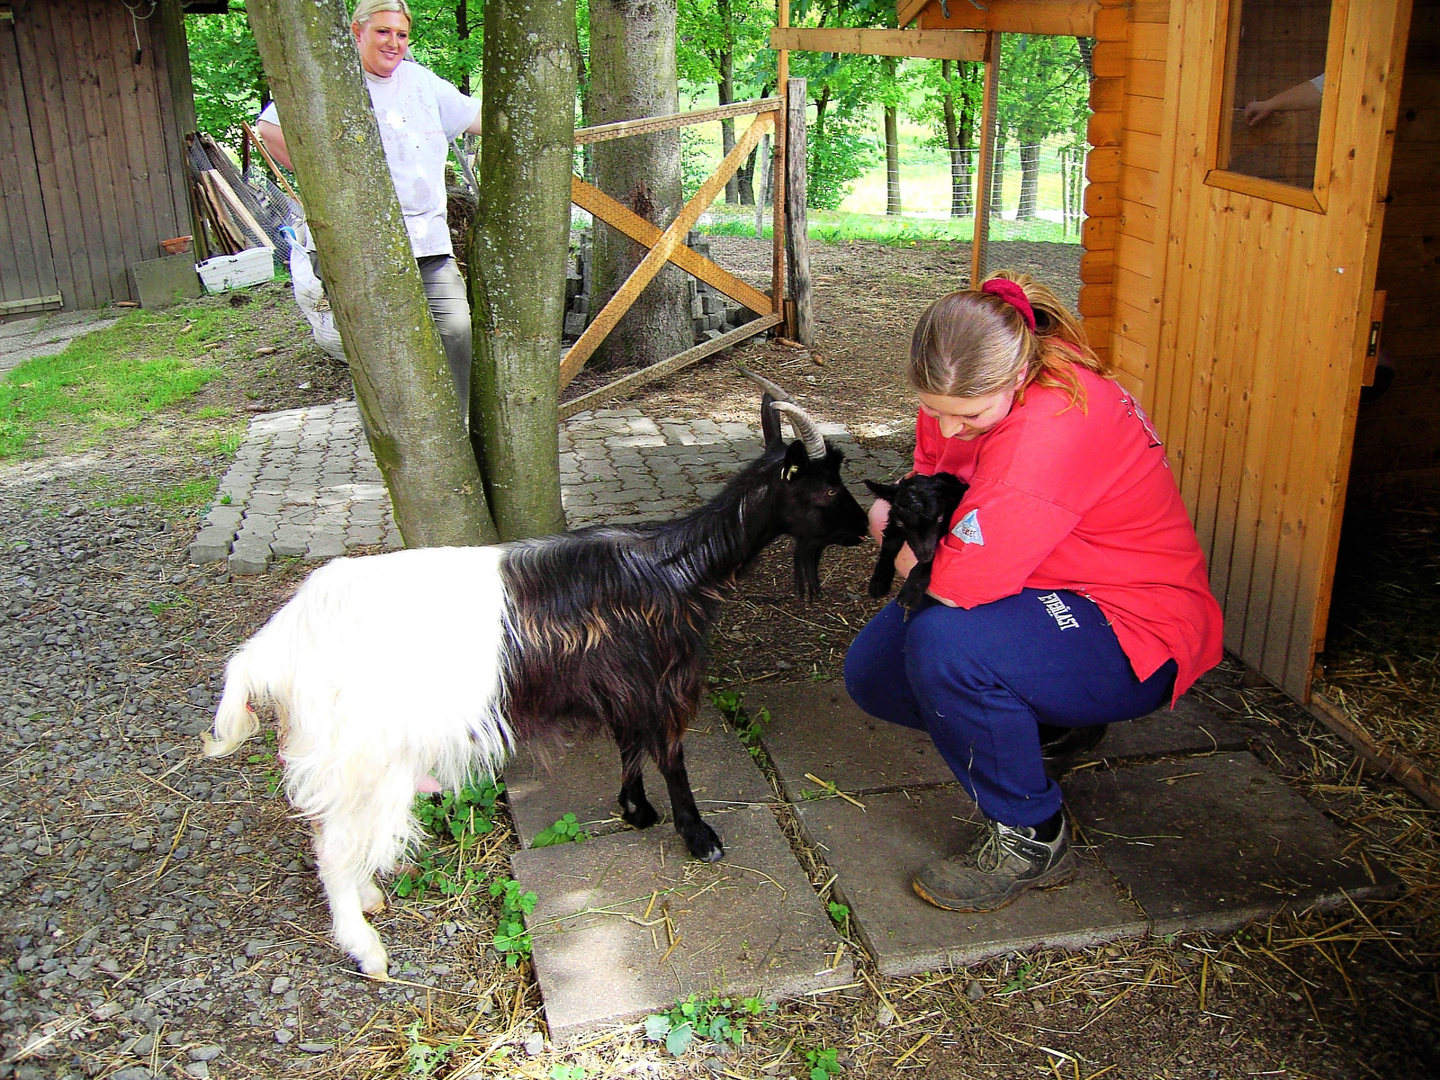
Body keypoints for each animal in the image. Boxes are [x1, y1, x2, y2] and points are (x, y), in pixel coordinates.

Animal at [864, 472, 967, 613]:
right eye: (900, 523)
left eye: (940, 518)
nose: (924, 556)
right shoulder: (893, 525)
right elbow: (888, 546)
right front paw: (878, 583)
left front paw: (910, 593)